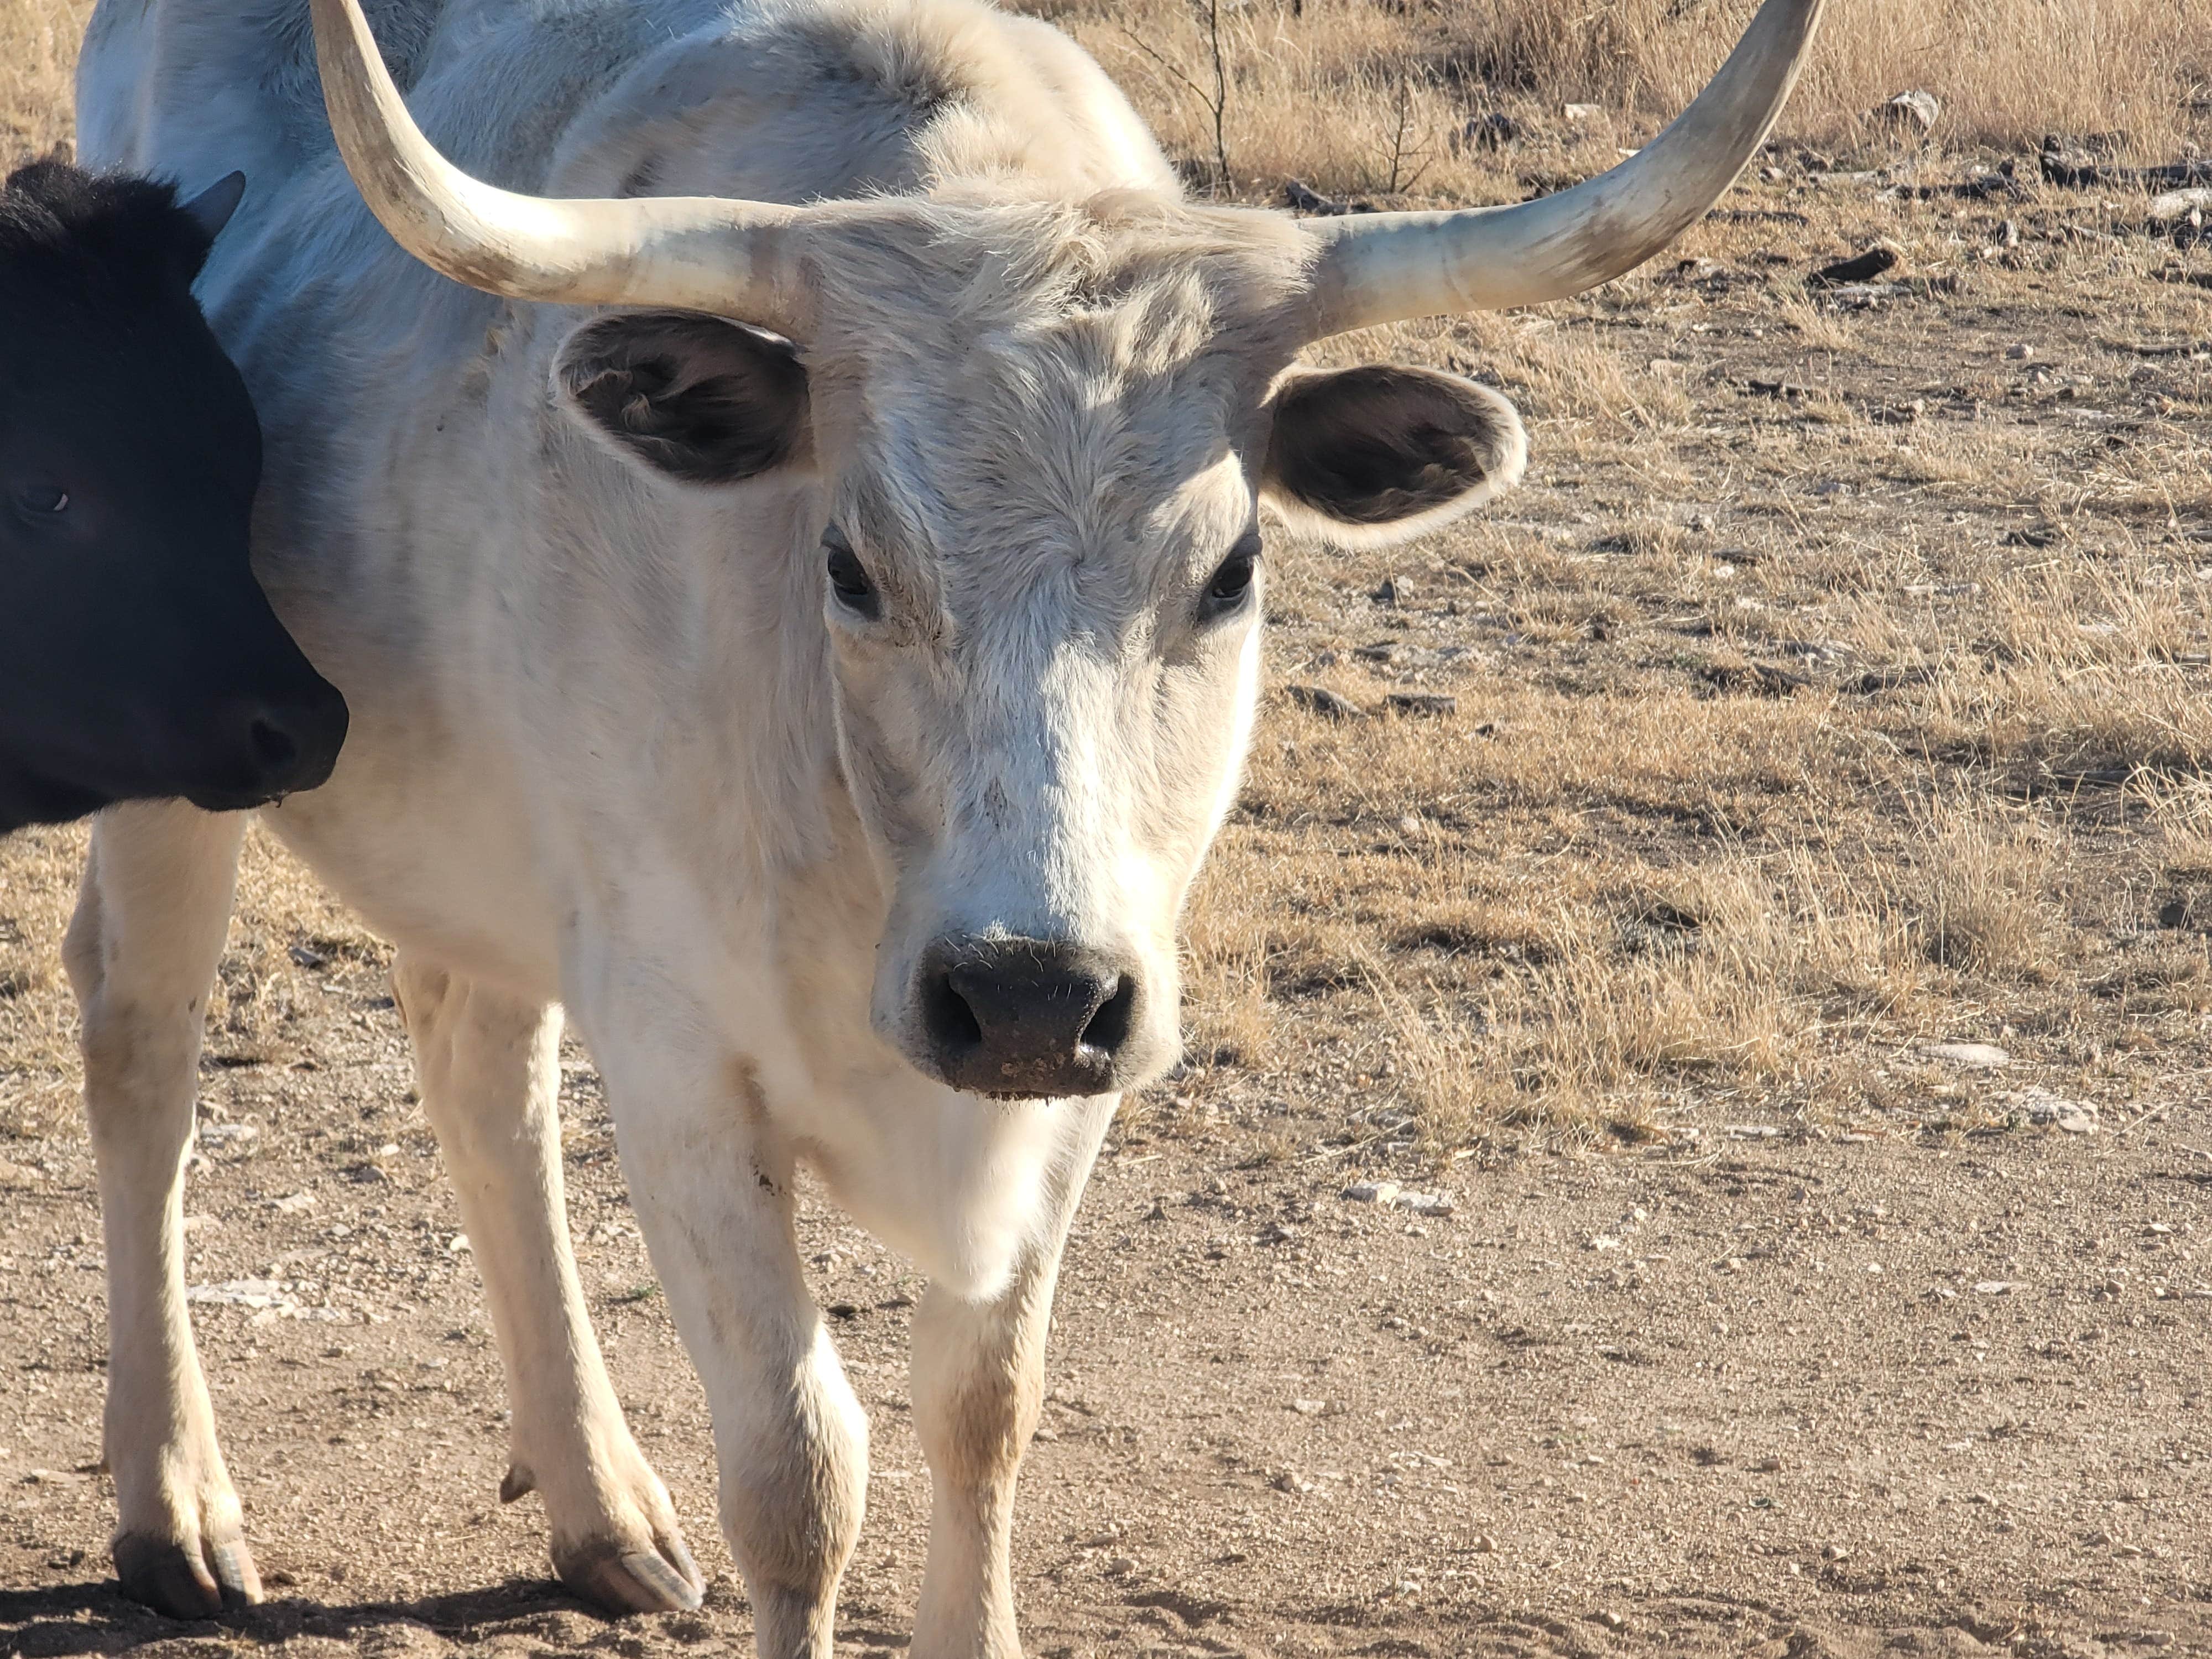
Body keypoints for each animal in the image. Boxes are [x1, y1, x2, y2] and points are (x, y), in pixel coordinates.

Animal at [74, 0, 1814, 1655]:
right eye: (850, 565)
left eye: (1231, 570)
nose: (1024, 987)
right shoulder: (679, 1056)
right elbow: (797, 1474)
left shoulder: (1086, 1054)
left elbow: (984, 1412)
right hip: (187, 748)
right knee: (146, 1051)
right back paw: (177, 1509)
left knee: (477, 1065)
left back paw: (601, 1509)